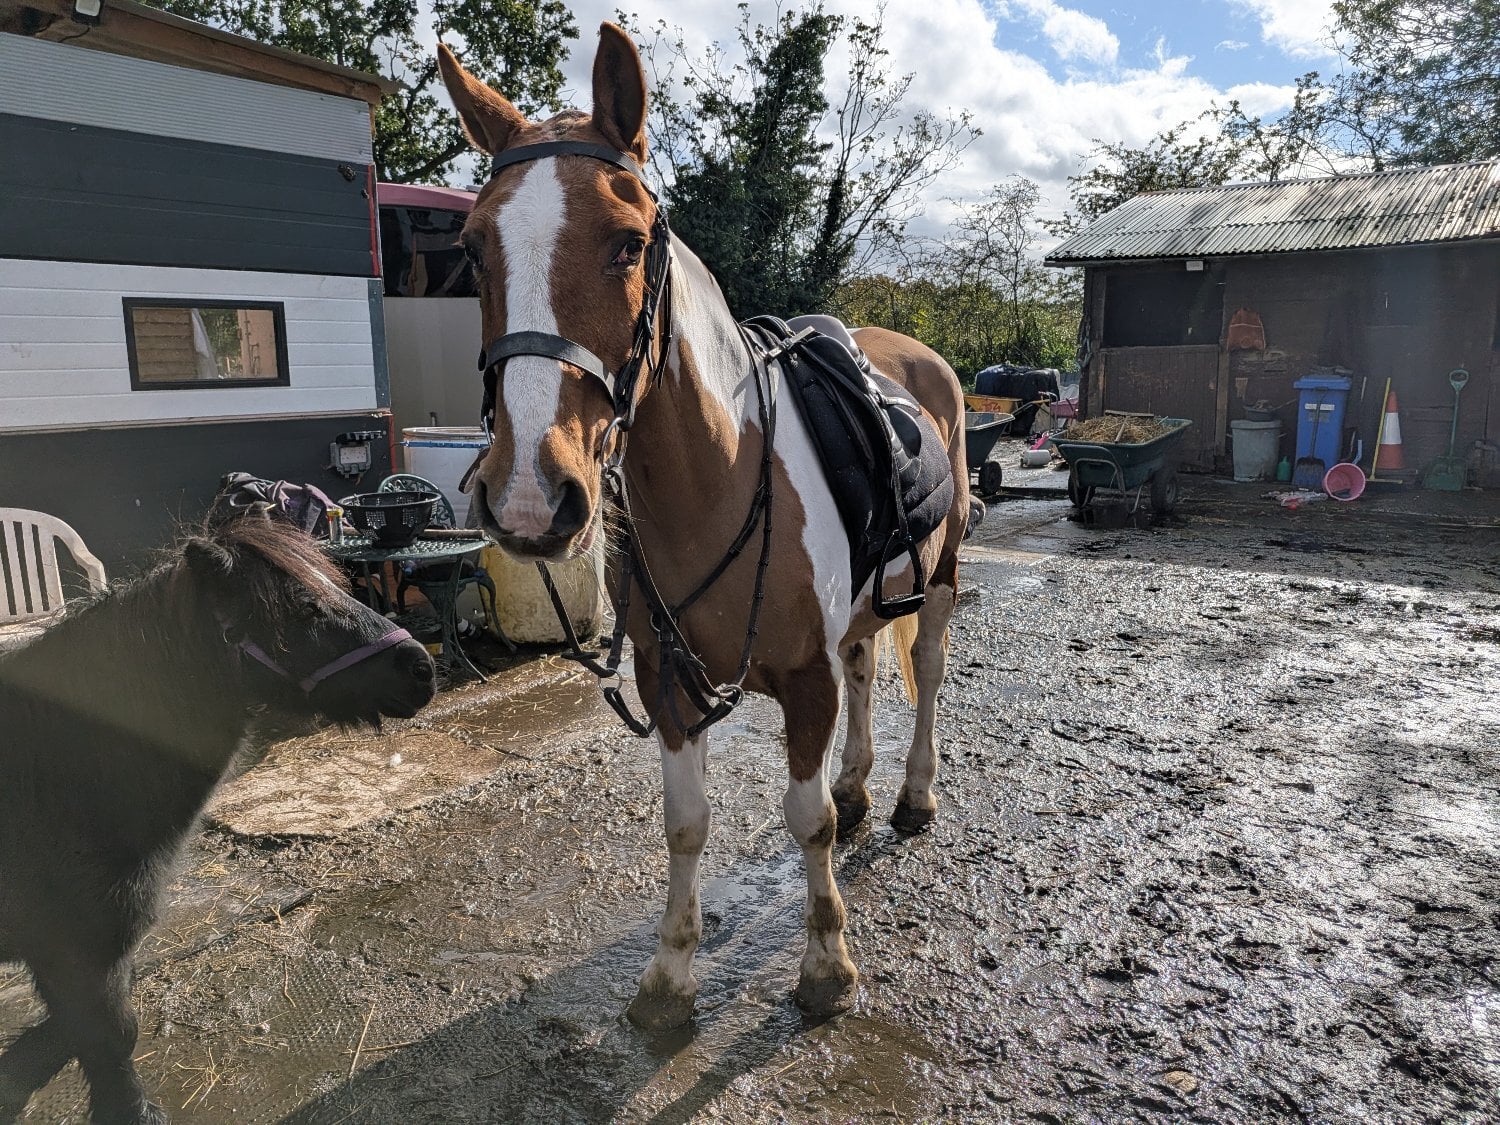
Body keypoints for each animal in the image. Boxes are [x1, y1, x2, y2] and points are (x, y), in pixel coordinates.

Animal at [437, 23, 969, 1030]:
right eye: (475, 248)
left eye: (627, 243)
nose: (528, 495)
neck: (718, 478)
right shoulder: (669, 685)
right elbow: (686, 824)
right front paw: (670, 975)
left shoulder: (802, 679)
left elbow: (808, 822)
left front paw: (827, 965)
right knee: (867, 663)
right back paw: (861, 777)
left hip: (943, 576)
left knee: (923, 668)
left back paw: (914, 793)